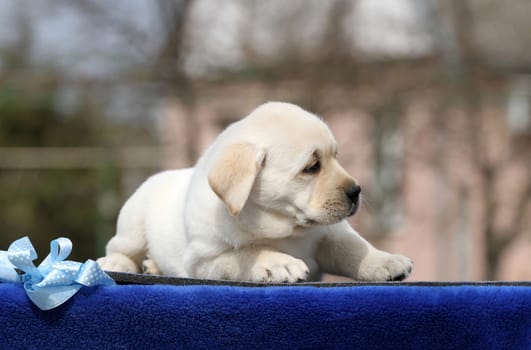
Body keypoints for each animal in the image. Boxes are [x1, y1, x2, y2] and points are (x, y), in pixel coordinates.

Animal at [100, 101, 416, 282]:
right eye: (312, 166)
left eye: (336, 156)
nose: (356, 191)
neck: (286, 228)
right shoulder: (205, 259)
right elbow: (245, 253)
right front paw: (280, 263)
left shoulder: (330, 233)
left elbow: (353, 247)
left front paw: (385, 260)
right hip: (132, 223)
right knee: (119, 248)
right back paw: (119, 263)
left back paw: (152, 266)